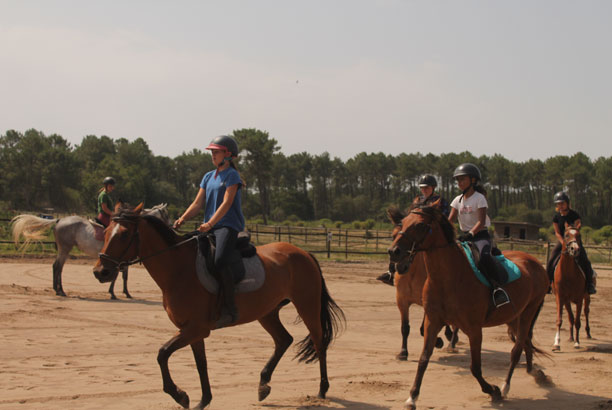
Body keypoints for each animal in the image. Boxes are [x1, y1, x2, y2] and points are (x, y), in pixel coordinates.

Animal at [11, 204, 170, 298]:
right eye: (166, 215)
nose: (172, 226)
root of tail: (59, 220)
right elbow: (119, 276)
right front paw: (114, 293)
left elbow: (123, 276)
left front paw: (125, 292)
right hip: (65, 248)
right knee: (58, 267)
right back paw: (60, 290)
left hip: (64, 249)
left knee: (57, 267)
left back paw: (58, 289)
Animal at [91, 205, 344, 410]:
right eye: (106, 232)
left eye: (124, 235)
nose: (100, 272)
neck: (179, 270)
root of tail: (303, 253)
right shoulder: (192, 331)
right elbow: (200, 364)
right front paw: (203, 399)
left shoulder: (195, 329)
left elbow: (162, 353)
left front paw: (179, 395)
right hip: (267, 312)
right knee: (284, 340)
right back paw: (263, 385)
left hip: (307, 305)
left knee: (319, 342)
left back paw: (322, 389)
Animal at [390, 203, 552, 408]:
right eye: (402, 222)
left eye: (419, 225)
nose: (394, 252)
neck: (449, 278)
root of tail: (535, 262)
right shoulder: (432, 322)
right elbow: (423, 359)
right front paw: (412, 397)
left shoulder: (474, 330)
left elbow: (475, 368)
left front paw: (493, 391)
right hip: (513, 317)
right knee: (526, 344)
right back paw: (536, 374)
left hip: (528, 313)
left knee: (517, 350)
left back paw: (505, 386)